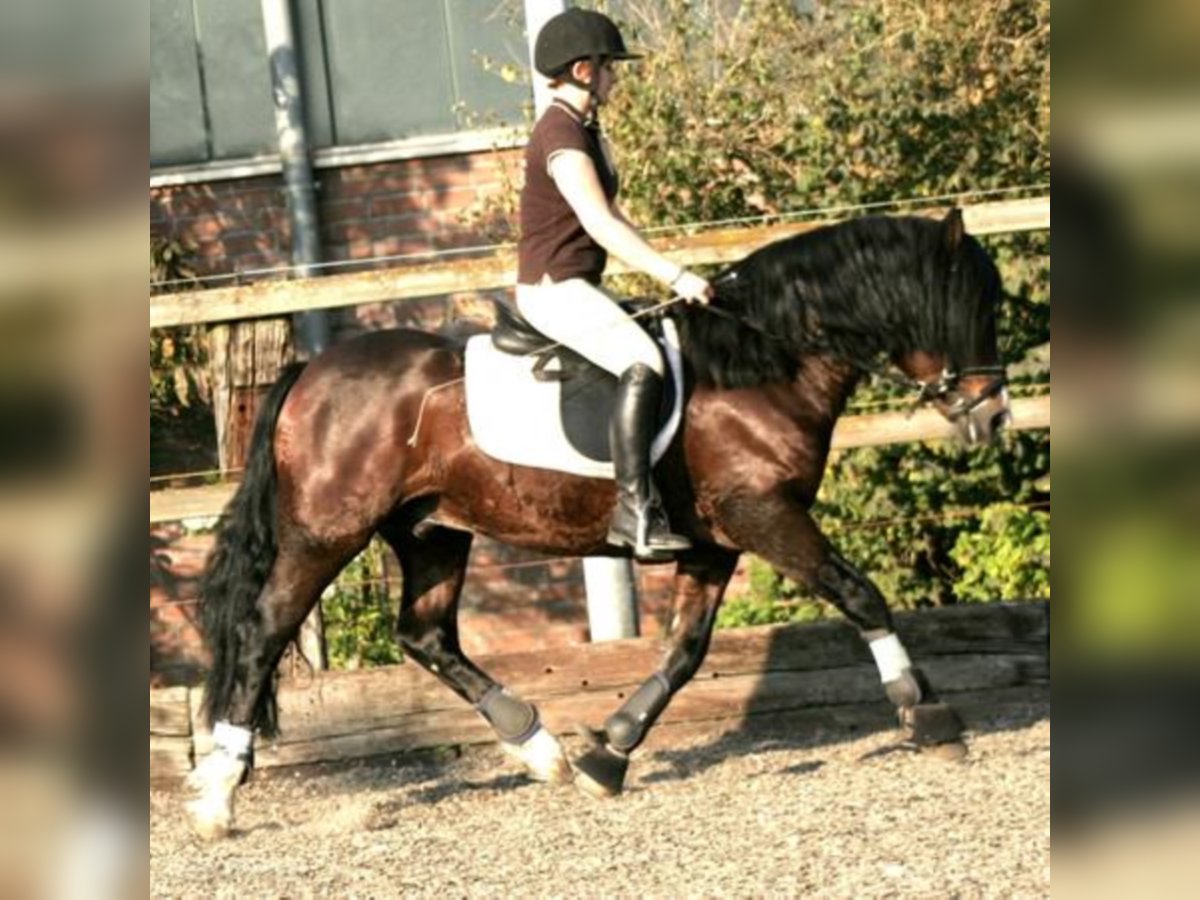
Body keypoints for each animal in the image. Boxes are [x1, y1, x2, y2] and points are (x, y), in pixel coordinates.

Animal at [184, 208, 1012, 839]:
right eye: (973, 306)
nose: (993, 415)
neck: (761, 366)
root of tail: (311, 373)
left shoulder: (714, 543)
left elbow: (684, 651)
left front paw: (609, 753)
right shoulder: (764, 514)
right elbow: (859, 594)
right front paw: (927, 713)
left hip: (432, 531)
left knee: (425, 635)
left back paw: (540, 749)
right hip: (326, 533)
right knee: (264, 631)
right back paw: (220, 794)